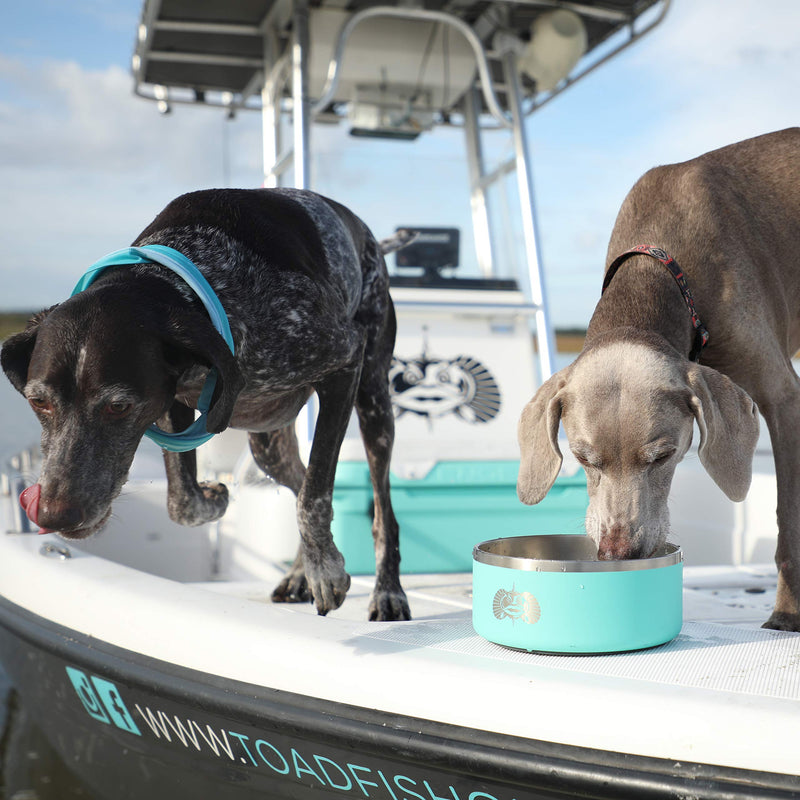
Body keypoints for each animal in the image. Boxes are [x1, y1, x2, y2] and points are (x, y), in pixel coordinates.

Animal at [1, 186, 412, 620]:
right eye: (38, 402)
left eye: (119, 406)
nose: (53, 515)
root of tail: (368, 236)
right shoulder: (171, 403)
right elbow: (183, 502)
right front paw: (215, 497)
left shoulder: (344, 361)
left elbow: (314, 497)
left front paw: (325, 569)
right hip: (268, 446)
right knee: (297, 478)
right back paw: (299, 573)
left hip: (373, 402)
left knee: (381, 512)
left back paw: (386, 591)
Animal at [516, 130, 800, 632]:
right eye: (581, 458)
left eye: (663, 456)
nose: (617, 553)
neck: (660, 267)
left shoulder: (784, 399)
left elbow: (788, 520)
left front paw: (785, 615)